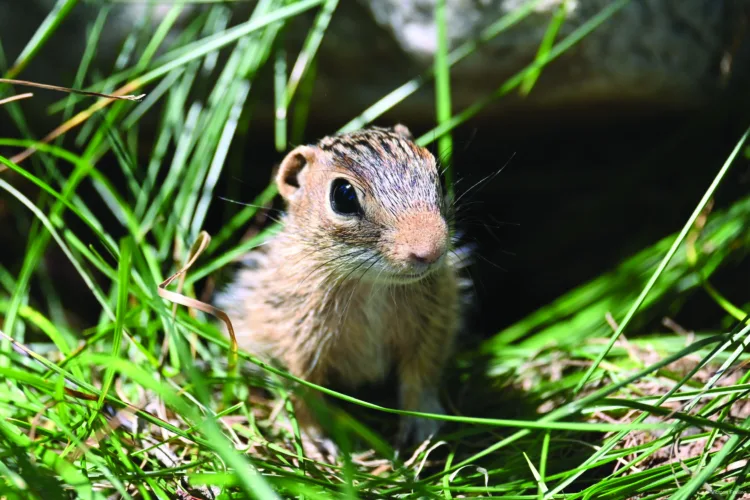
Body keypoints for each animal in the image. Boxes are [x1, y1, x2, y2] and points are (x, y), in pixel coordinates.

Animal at [215, 124, 470, 448]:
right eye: (343, 195)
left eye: (436, 171)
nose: (430, 251)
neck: (372, 284)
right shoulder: (298, 343)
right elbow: (303, 391)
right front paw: (314, 440)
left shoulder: (432, 329)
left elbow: (420, 376)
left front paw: (422, 424)